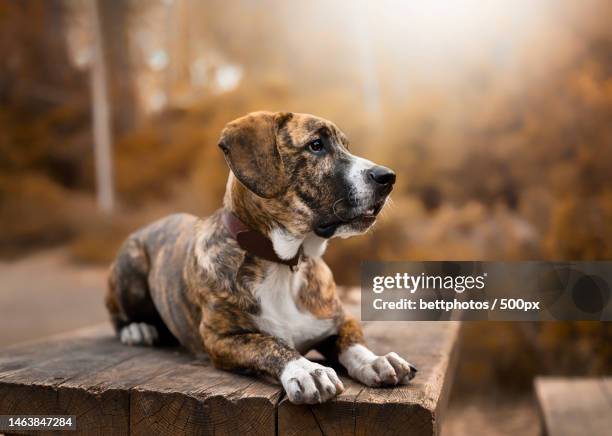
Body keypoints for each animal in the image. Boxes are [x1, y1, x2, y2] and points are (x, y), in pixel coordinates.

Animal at [107, 110, 418, 404]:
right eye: (316, 145)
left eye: (346, 146)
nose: (388, 177)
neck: (283, 264)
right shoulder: (222, 339)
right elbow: (269, 344)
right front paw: (306, 369)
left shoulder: (339, 319)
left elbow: (352, 341)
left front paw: (376, 361)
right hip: (130, 266)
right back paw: (137, 330)